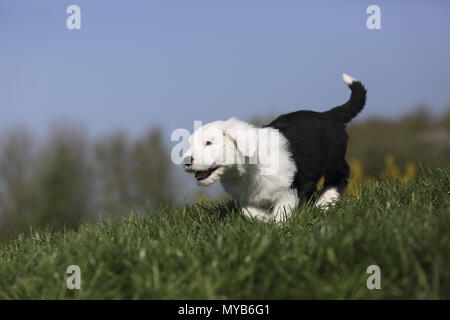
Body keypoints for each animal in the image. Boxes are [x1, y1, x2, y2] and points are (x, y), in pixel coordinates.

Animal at [182, 73, 366, 221]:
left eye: (209, 142)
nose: (186, 162)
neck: (247, 169)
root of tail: (328, 115)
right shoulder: (247, 198)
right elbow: (249, 212)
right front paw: (265, 219)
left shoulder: (288, 190)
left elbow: (281, 212)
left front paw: (277, 227)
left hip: (333, 159)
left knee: (341, 175)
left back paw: (325, 201)